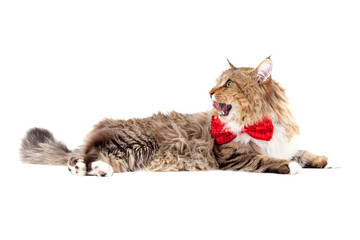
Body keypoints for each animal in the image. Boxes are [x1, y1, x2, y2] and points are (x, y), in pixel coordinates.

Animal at [20, 57, 330, 175]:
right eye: (218, 82)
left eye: (228, 84)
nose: (209, 91)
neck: (261, 121)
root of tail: (101, 127)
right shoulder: (230, 155)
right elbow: (265, 160)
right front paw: (291, 166)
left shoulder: (282, 142)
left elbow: (300, 150)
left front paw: (321, 160)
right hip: (132, 144)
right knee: (80, 157)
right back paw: (90, 168)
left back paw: (100, 169)